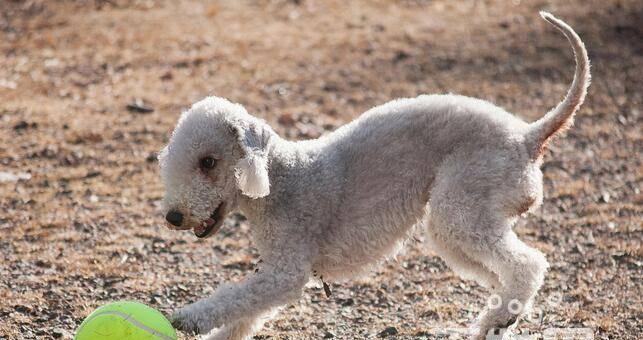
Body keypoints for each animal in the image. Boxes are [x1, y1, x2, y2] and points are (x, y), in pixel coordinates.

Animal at [158, 12, 592, 340]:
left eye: (208, 162)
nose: (173, 217)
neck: (279, 179)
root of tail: (527, 136)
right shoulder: (273, 270)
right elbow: (246, 312)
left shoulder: (286, 270)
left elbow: (239, 297)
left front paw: (188, 317)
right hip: (461, 223)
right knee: (505, 274)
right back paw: (496, 321)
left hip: (463, 202)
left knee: (528, 264)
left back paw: (499, 317)